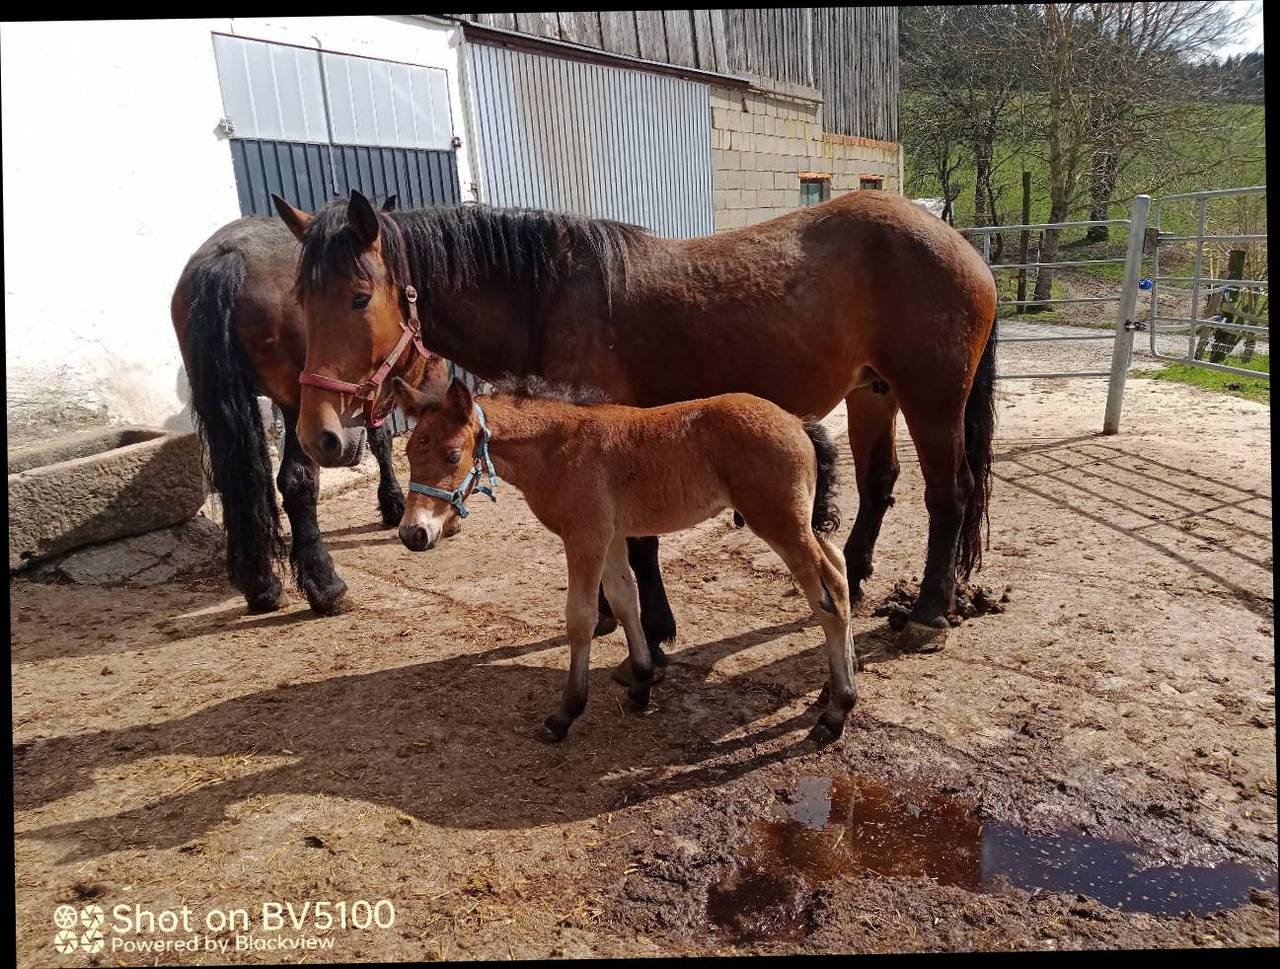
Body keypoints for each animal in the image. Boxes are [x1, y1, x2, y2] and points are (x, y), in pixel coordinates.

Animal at [389, 376, 849, 742]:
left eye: (453, 455)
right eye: (409, 452)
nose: (413, 534)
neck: (558, 448)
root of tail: (798, 423)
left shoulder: (584, 537)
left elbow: (581, 618)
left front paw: (565, 714)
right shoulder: (610, 537)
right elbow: (625, 600)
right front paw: (642, 683)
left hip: (781, 524)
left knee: (830, 594)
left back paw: (836, 711)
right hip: (800, 523)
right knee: (839, 567)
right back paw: (832, 695)